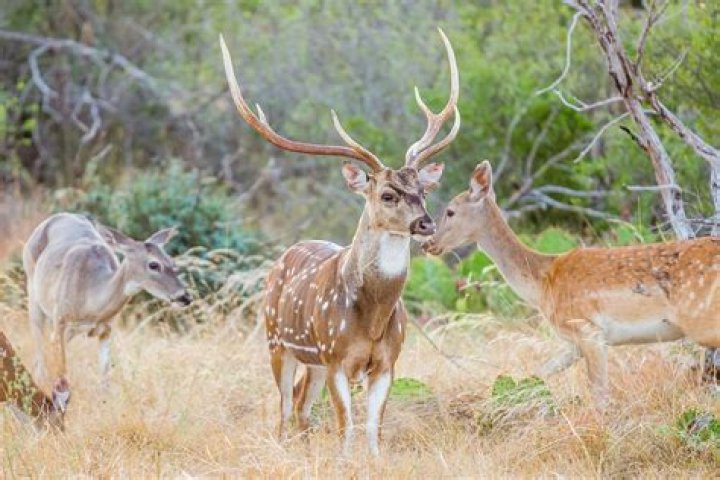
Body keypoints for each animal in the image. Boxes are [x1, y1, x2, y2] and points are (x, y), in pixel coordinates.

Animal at [23, 212, 193, 389]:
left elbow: (104, 377)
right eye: (154, 264)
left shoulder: (107, 328)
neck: (90, 302)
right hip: (33, 288)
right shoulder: (61, 320)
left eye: (172, 262)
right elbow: (62, 369)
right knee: (40, 346)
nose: (185, 297)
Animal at [220, 28, 459, 455]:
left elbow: (373, 427)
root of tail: (283, 256)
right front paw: (345, 460)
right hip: (276, 340)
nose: (425, 223)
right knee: (284, 408)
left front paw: (372, 460)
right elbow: (345, 425)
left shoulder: (388, 361)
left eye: (423, 191)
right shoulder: (335, 358)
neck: (373, 317)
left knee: (301, 404)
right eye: (387, 194)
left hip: (311, 360)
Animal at [423, 161, 720, 409]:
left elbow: (599, 397)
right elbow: (538, 373)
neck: (542, 285)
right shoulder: (573, 342)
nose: (428, 244)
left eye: (450, 211)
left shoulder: (588, 330)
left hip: (703, 317)